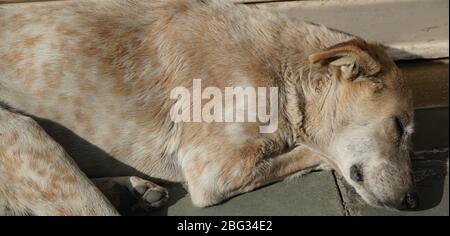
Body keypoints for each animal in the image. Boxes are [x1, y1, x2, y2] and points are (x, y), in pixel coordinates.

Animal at [0, 0, 416, 215]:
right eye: (399, 127)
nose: (413, 200)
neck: (283, 72)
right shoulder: (213, 172)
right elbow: (315, 151)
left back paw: (130, 189)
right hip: (23, 132)